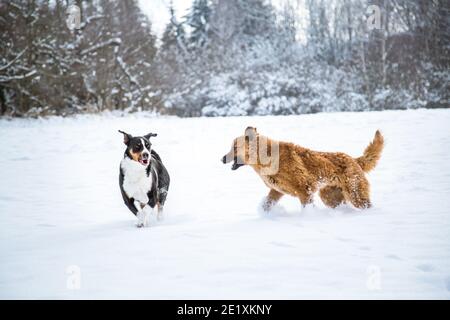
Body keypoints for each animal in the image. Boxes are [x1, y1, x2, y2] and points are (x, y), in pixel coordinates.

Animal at [221, 126, 384, 211]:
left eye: (234, 148)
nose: (222, 159)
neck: (265, 156)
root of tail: (353, 159)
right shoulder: (276, 190)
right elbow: (266, 205)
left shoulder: (305, 188)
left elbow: (307, 206)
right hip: (330, 196)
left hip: (355, 193)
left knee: (366, 205)